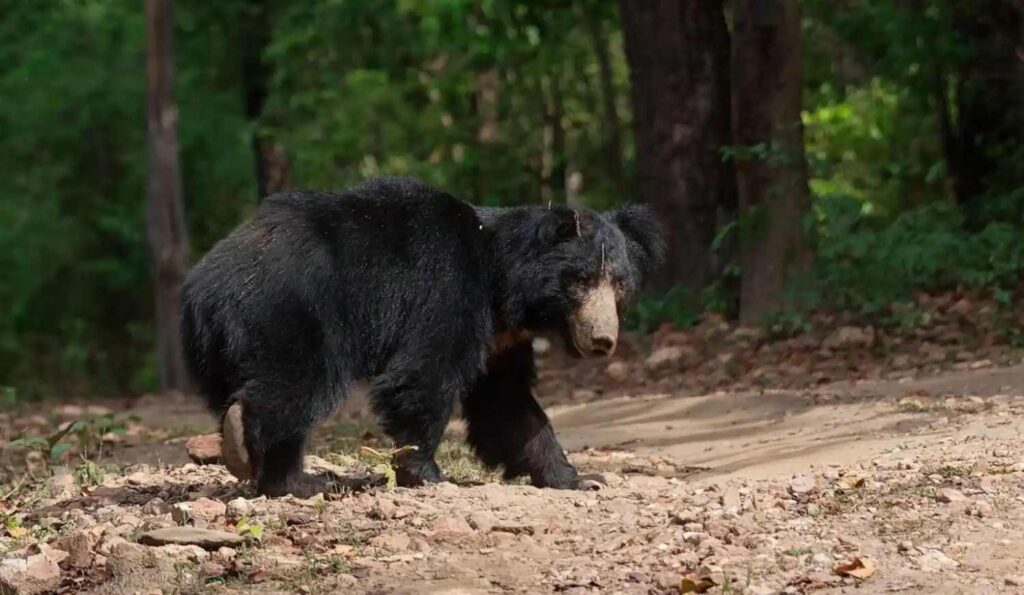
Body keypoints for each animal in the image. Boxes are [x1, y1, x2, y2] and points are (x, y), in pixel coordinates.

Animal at [181, 177, 663, 497]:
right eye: (580, 281)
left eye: (619, 284)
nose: (602, 340)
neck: (505, 288)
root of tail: (202, 287)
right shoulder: (447, 289)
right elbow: (425, 372)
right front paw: (426, 471)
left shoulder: (502, 340)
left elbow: (508, 406)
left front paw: (578, 478)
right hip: (293, 312)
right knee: (297, 387)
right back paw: (268, 462)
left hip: (223, 346)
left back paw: (278, 472)